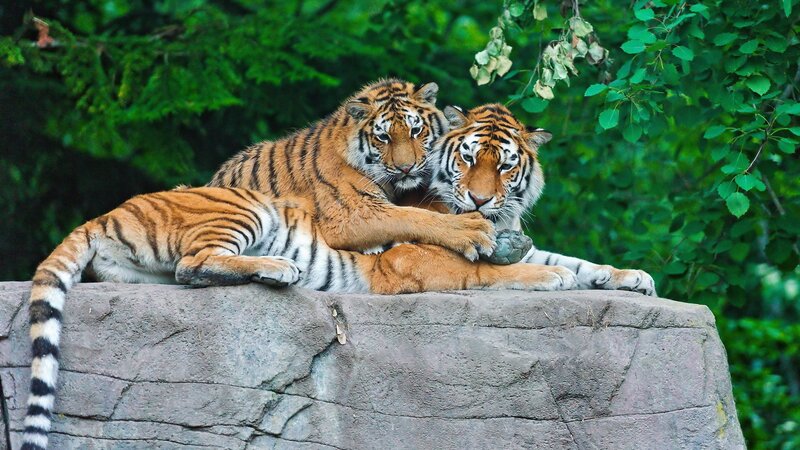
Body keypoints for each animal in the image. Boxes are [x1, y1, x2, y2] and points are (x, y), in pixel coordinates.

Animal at [20, 186, 577, 450]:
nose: (518, 231)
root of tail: (103, 215)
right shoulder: (414, 265)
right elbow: (491, 272)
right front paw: (551, 276)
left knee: (184, 274)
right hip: (243, 209)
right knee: (194, 264)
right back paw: (278, 269)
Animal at [207, 78, 496, 261]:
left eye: (416, 130)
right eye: (384, 137)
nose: (406, 168)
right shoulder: (352, 213)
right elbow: (412, 217)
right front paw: (472, 231)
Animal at [421, 103, 657, 296]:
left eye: (505, 166)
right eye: (468, 158)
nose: (479, 200)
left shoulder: (528, 250)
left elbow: (575, 262)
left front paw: (632, 276)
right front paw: (555, 275)